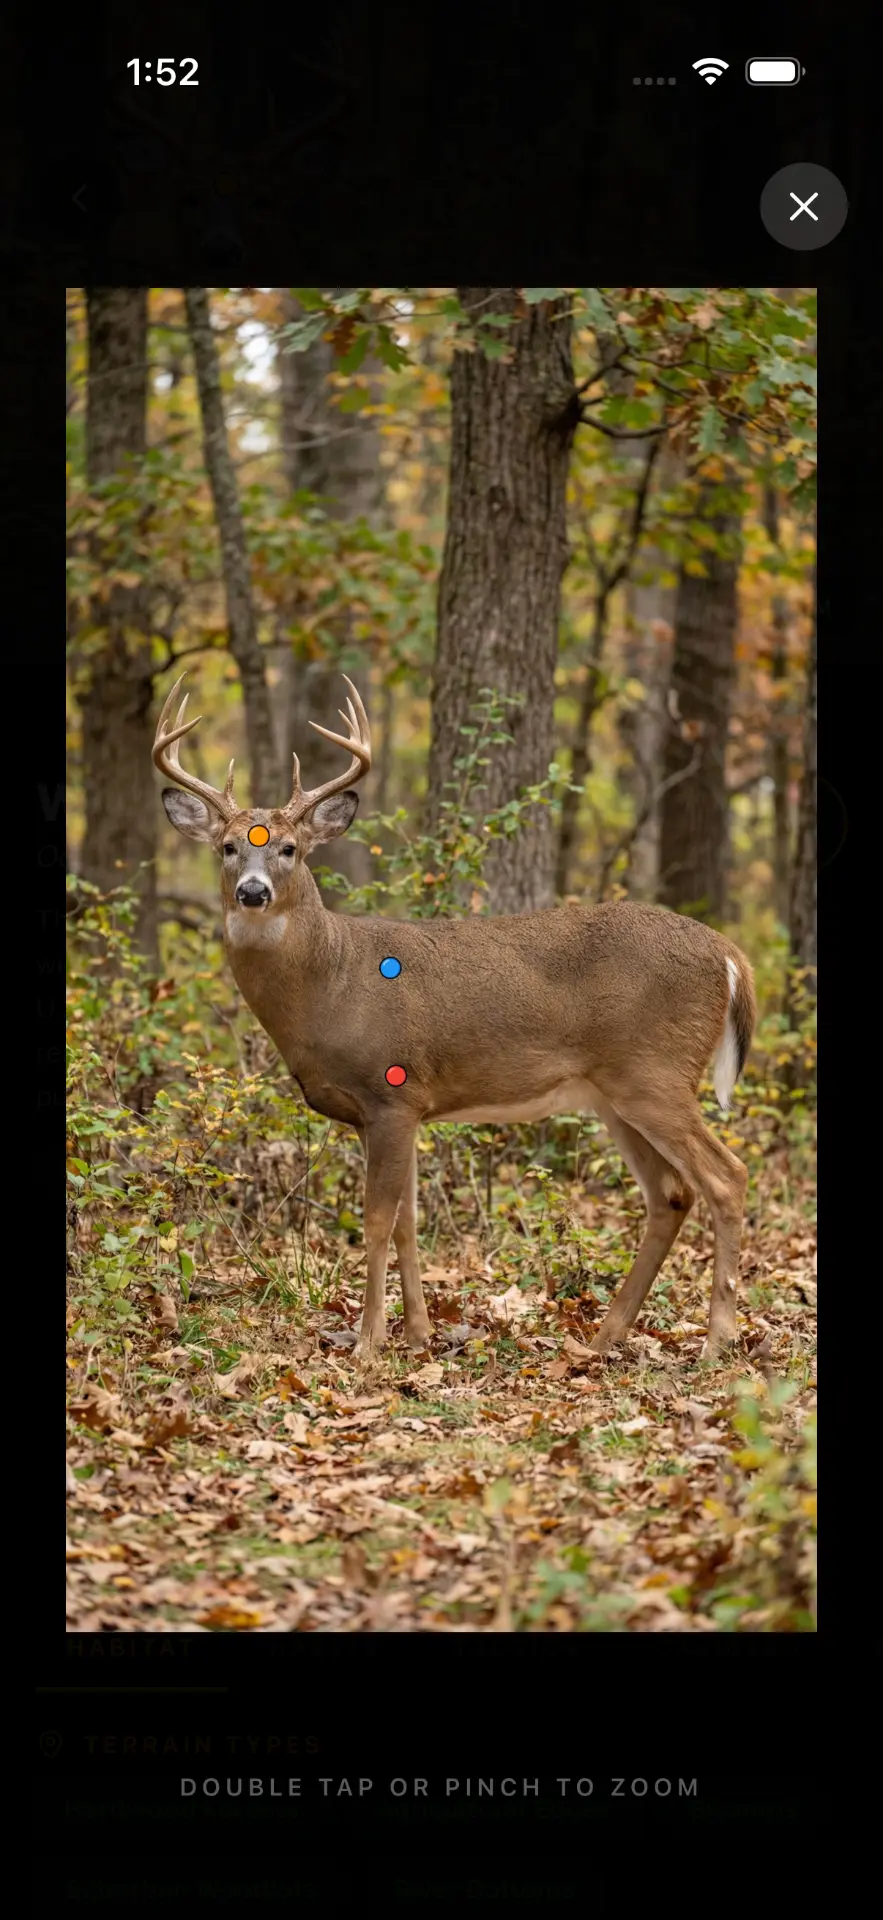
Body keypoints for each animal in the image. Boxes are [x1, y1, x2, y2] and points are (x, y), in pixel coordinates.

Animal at [154, 673, 756, 1368]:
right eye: (227, 847)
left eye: (290, 848)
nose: (253, 892)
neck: (332, 982)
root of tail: (730, 954)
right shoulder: (401, 1109)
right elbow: (410, 1221)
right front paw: (417, 1335)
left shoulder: (391, 1093)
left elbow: (378, 1220)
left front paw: (368, 1343)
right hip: (615, 1094)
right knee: (671, 1193)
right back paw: (604, 1338)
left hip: (655, 1072)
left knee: (727, 1177)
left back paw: (716, 1340)